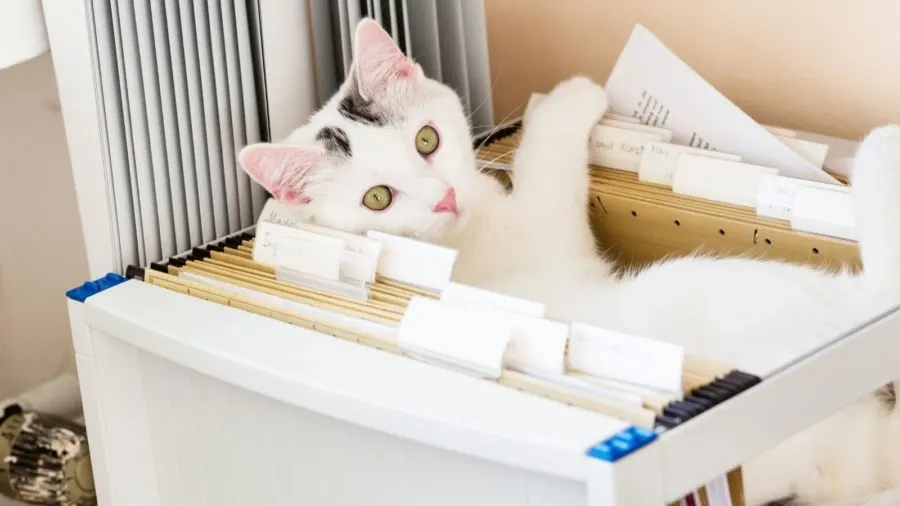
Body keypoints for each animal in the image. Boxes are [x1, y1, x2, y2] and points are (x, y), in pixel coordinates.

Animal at [237, 17, 900, 504]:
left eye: (427, 140)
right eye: (377, 199)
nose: (445, 197)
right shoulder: (550, 225)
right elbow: (547, 158)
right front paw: (569, 97)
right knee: (874, 291)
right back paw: (879, 152)